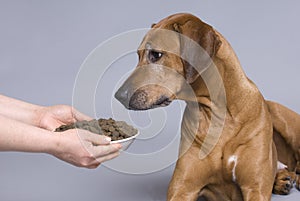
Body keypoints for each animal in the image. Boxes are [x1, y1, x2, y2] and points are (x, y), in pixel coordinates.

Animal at [115, 13, 300, 200]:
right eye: (138, 55)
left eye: (156, 54)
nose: (119, 96)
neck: (219, 115)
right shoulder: (182, 188)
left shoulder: (255, 188)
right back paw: (282, 179)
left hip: (281, 116)